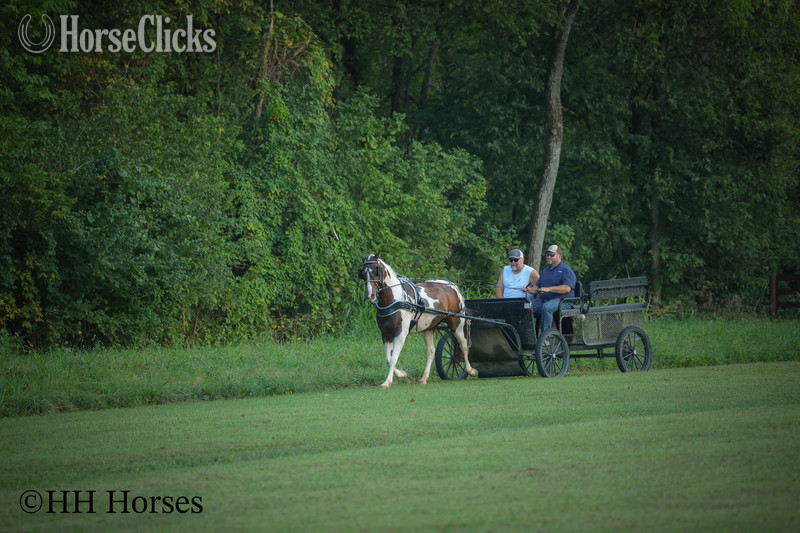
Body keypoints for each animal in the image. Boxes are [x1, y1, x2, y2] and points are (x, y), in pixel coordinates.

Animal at [358, 253, 477, 388]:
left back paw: (470, 370)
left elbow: (393, 358)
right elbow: (388, 360)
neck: (396, 299)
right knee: (431, 351)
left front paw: (387, 381)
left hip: (456, 323)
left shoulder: (401, 333)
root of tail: (452, 285)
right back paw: (424, 378)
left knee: (464, 345)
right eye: (363, 273)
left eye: (376, 271)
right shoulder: (386, 334)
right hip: (429, 328)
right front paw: (403, 373)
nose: (370, 296)